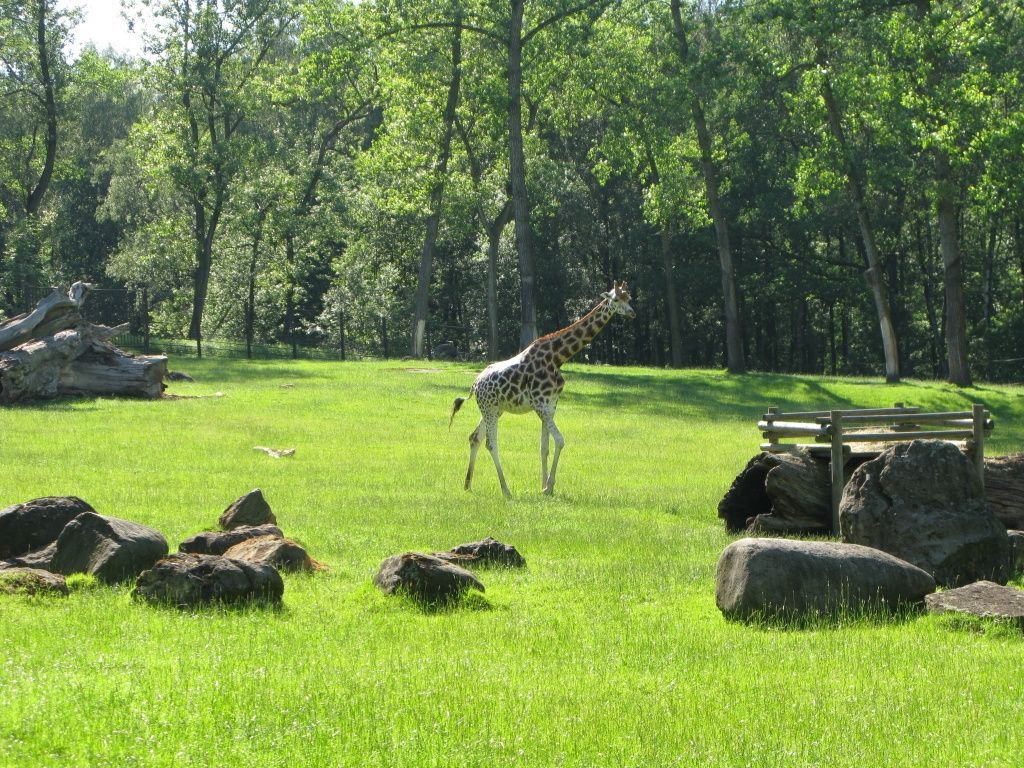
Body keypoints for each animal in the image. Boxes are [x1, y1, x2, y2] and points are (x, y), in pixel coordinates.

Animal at [452, 282, 634, 499]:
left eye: (629, 298)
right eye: (616, 299)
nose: (632, 313)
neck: (558, 357)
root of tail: (474, 384)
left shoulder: (551, 404)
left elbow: (544, 447)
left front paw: (544, 487)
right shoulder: (539, 404)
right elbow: (560, 440)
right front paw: (548, 486)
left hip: (495, 409)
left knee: (475, 438)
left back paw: (467, 485)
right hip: (489, 409)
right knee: (491, 443)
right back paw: (506, 490)